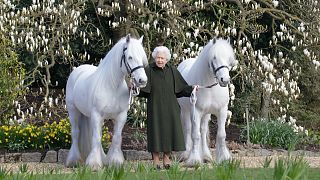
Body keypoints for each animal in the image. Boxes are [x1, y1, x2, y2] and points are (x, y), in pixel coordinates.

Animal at [66, 34, 149, 170]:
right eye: (130, 57)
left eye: (142, 57)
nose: (142, 80)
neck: (112, 86)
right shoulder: (97, 114)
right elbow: (96, 138)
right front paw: (94, 164)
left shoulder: (121, 116)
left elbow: (116, 138)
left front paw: (115, 162)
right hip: (73, 111)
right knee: (76, 133)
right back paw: (74, 160)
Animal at [178, 38, 238, 166]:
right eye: (214, 57)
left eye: (229, 58)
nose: (225, 80)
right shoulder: (195, 112)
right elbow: (195, 135)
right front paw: (194, 160)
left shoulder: (222, 111)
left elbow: (221, 135)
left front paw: (224, 158)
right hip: (186, 111)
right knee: (188, 129)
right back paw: (186, 154)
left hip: (206, 114)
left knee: (203, 129)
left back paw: (206, 156)